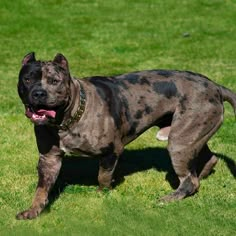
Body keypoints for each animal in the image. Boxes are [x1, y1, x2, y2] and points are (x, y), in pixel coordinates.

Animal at [16, 52, 236, 219]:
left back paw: (169, 198)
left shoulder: (110, 152)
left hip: (179, 142)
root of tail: (216, 86)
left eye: (54, 81)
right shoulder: (49, 159)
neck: (66, 119)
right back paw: (202, 174)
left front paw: (101, 195)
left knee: (190, 180)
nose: (38, 93)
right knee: (207, 159)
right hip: (191, 134)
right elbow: (41, 189)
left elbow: (103, 177)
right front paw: (33, 211)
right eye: (27, 79)